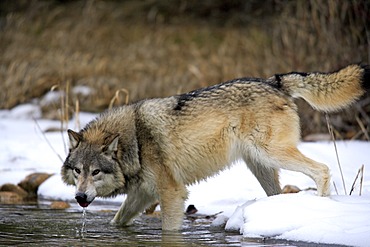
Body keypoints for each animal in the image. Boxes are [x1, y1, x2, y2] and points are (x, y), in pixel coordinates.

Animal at [62, 63, 368, 230]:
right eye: (77, 171)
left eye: (96, 172)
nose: (79, 197)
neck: (135, 140)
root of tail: (274, 81)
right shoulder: (143, 194)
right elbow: (117, 221)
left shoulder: (173, 193)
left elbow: (169, 229)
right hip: (262, 165)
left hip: (272, 154)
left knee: (322, 169)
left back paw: (322, 207)